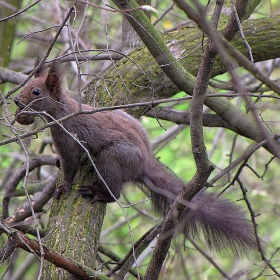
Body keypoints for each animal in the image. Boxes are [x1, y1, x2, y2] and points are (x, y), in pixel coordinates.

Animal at [14, 59, 258, 256]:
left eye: (36, 92)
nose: (16, 101)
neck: (62, 111)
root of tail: (146, 162)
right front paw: (56, 164)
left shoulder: (68, 137)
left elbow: (71, 164)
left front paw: (63, 187)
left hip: (112, 158)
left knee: (115, 193)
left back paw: (99, 193)